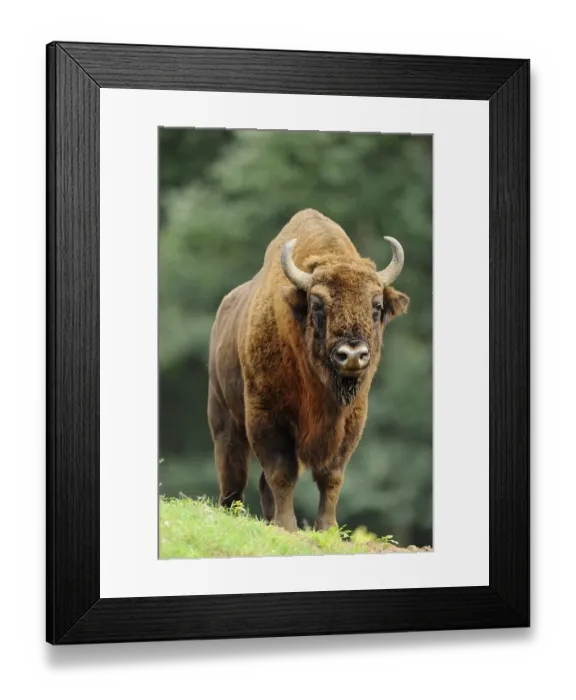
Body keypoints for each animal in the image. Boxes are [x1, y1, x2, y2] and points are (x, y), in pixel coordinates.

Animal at [207, 209, 409, 532]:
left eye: (376, 305)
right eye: (317, 304)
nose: (352, 355)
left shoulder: (351, 421)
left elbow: (331, 477)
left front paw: (327, 528)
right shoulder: (267, 415)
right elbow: (281, 472)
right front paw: (288, 526)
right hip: (223, 417)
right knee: (233, 475)